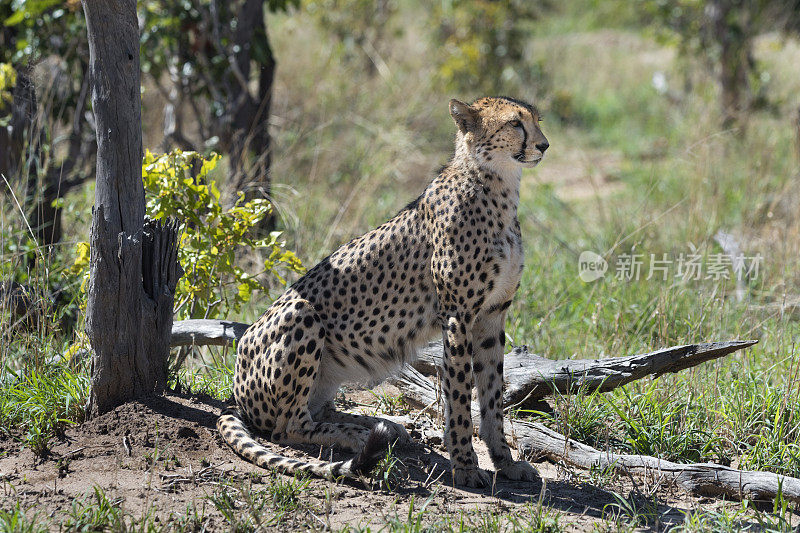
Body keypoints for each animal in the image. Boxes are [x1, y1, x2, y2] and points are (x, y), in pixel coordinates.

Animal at [219, 95, 552, 486]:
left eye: (536, 120)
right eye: (515, 124)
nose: (544, 145)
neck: (497, 185)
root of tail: (236, 394)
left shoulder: (492, 315)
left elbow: (492, 394)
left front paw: (504, 461)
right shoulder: (458, 316)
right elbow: (459, 395)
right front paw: (465, 466)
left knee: (321, 410)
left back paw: (383, 426)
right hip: (301, 313)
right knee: (288, 426)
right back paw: (357, 435)